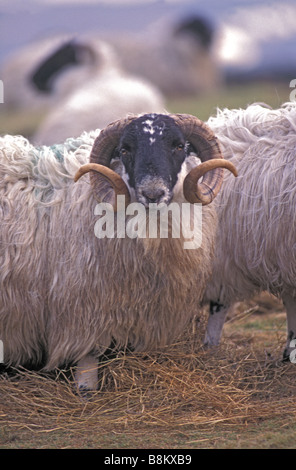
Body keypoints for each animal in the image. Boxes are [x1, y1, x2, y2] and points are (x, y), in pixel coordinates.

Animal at [0, 113, 237, 390]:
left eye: (179, 146)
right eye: (125, 150)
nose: (153, 194)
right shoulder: (84, 309)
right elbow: (88, 363)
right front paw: (86, 390)